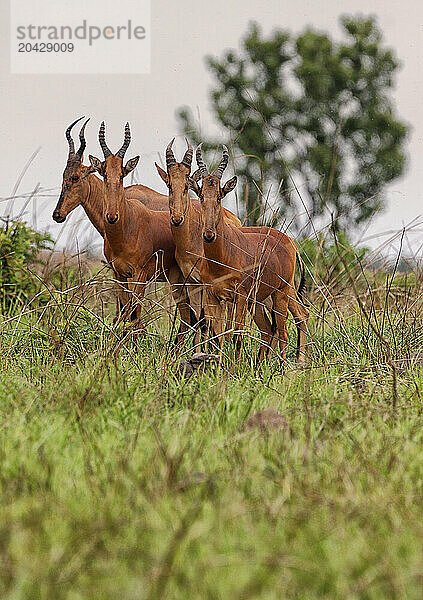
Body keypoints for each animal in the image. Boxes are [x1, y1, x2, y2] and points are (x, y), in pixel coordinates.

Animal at [88, 122, 197, 338]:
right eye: (104, 173)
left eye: (122, 174)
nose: (111, 216)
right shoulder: (119, 275)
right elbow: (124, 313)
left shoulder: (139, 276)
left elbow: (135, 315)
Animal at [189, 146, 308, 360]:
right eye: (201, 195)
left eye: (219, 195)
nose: (209, 235)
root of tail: (289, 243)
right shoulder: (213, 296)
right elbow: (216, 336)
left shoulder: (241, 297)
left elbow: (237, 335)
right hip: (260, 300)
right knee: (269, 329)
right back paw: (262, 364)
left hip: (282, 293)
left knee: (286, 329)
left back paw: (289, 364)